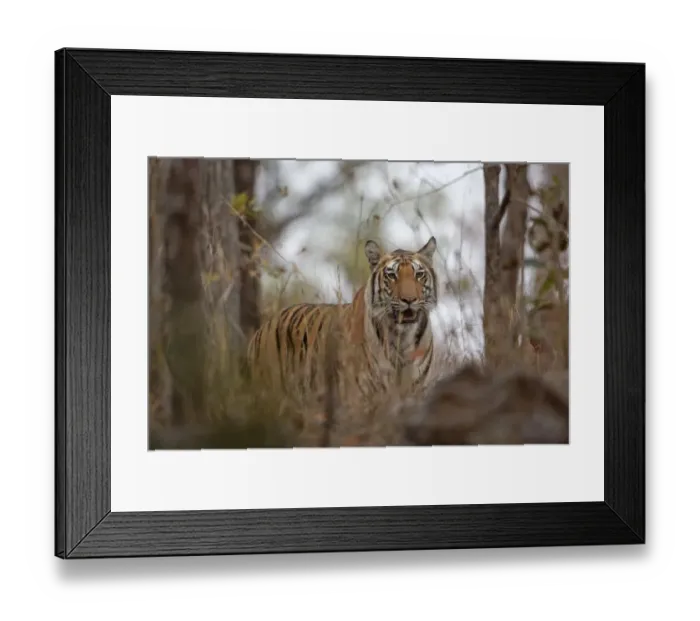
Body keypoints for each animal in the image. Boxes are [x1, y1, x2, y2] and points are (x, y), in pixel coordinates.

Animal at [246, 236, 440, 418]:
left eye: (419, 274)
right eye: (392, 275)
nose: (409, 300)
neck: (403, 337)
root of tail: (261, 329)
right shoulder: (360, 401)